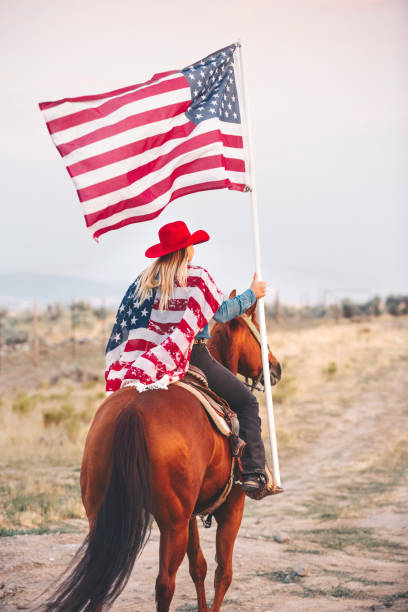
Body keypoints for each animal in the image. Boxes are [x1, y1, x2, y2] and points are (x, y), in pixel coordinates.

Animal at [45, 302, 280, 612]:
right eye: (258, 335)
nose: (276, 367)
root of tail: (133, 409)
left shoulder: (191, 513)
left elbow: (198, 566)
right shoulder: (232, 506)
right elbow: (223, 572)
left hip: (101, 513)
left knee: (99, 586)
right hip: (172, 526)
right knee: (165, 584)